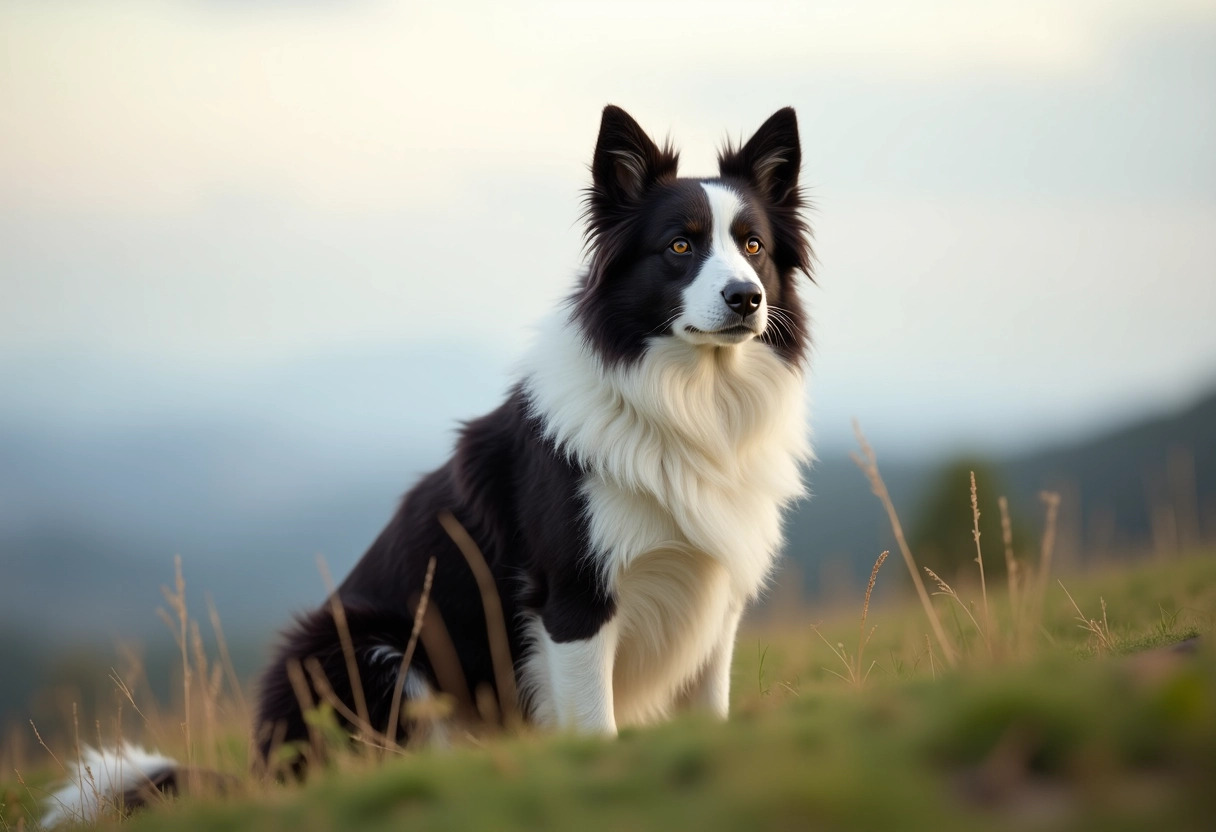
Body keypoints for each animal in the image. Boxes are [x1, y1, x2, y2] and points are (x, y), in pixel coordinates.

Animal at [44, 105, 817, 827]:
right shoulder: (574, 597)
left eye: (753, 246)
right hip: (369, 649)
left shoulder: (712, 597)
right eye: (679, 246)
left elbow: (708, 715)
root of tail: (264, 770)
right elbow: (594, 725)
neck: (691, 401)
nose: (746, 298)